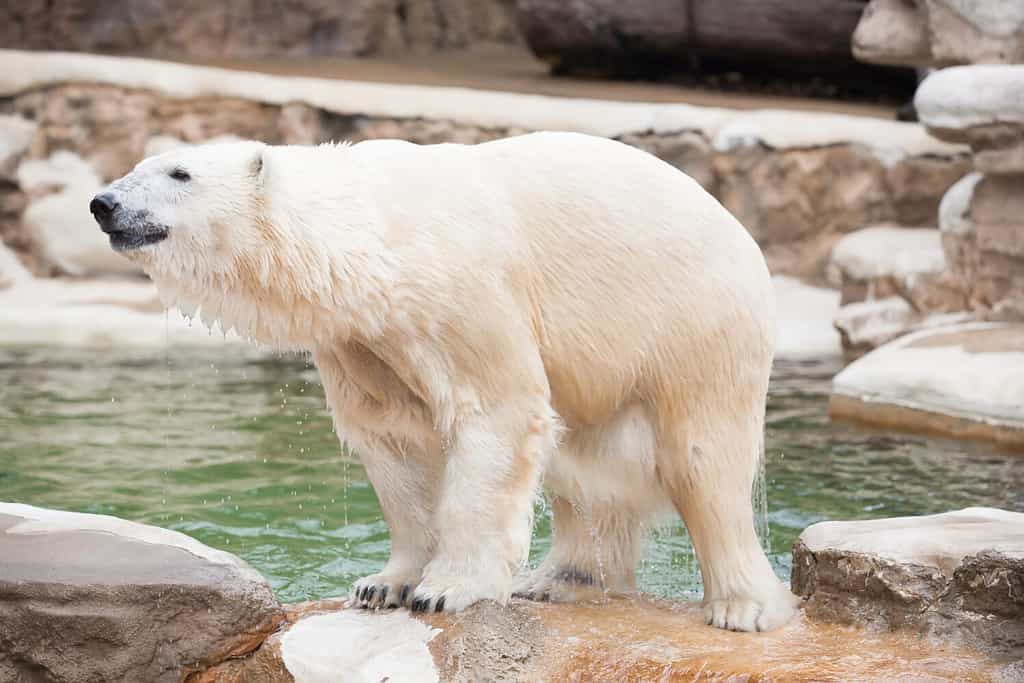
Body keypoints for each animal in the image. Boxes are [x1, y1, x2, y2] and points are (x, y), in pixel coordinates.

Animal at [91, 132, 799, 632]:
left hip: (691, 323)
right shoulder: (361, 338)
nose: (104, 203)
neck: (373, 239)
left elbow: (496, 413)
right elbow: (394, 443)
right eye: (141, 164)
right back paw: (561, 579)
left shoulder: (460, 292)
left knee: (701, 458)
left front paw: (446, 589)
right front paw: (383, 584)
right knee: (587, 468)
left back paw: (742, 606)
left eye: (180, 174)